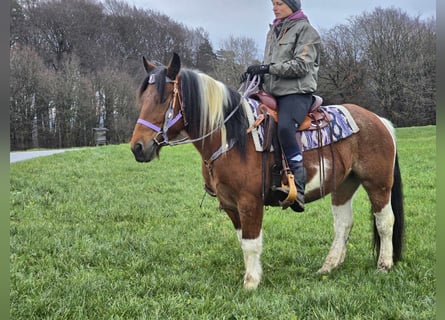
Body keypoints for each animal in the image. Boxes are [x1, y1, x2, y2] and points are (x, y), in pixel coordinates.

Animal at [128, 53, 402, 290]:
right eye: (143, 99)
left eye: (164, 99)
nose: (138, 148)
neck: (232, 137)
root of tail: (379, 120)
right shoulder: (230, 204)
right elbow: (244, 241)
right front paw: (253, 275)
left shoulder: (250, 202)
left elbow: (251, 243)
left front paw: (250, 284)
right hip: (344, 185)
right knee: (343, 224)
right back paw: (329, 266)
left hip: (378, 183)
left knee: (385, 221)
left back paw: (384, 265)